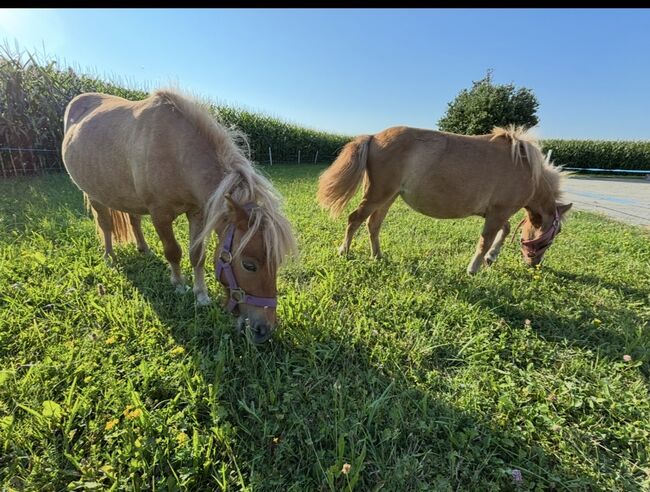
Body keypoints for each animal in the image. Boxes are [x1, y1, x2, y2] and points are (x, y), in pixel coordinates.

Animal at [62, 89, 296, 343]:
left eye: (277, 261)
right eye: (249, 265)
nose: (264, 329)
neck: (176, 152)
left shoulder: (197, 213)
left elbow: (197, 255)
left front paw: (201, 295)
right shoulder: (160, 215)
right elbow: (173, 251)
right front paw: (179, 285)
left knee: (134, 220)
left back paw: (144, 249)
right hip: (94, 195)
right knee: (105, 225)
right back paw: (109, 256)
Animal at [317, 126, 572, 273]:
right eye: (553, 235)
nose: (534, 264)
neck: (527, 169)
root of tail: (373, 137)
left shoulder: (495, 213)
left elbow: (506, 230)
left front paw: (491, 258)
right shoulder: (499, 212)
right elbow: (485, 240)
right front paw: (474, 267)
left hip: (388, 197)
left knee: (373, 225)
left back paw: (377, 256)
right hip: (377, 195)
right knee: (355, 219)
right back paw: (344, 252)